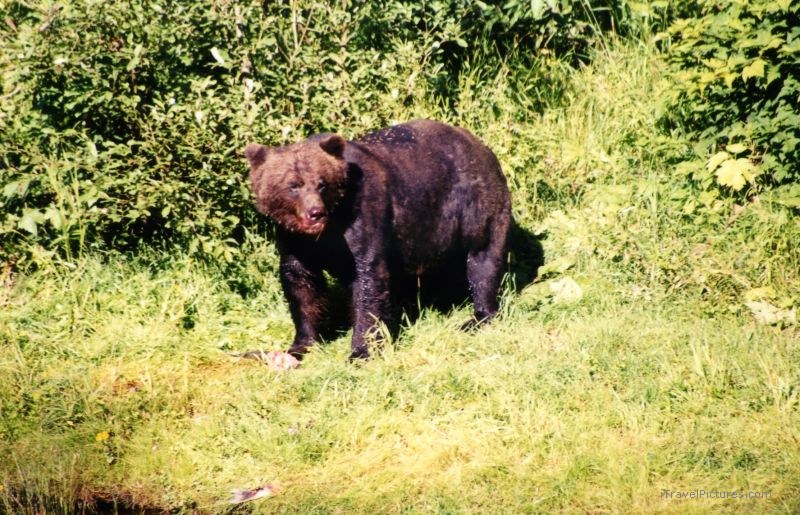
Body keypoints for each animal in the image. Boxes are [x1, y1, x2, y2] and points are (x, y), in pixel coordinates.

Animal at [244, 119, 511, 364]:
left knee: (483, 258)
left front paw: (361, 351)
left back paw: (478, 316)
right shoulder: (297, 242)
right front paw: (301, 344)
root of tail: (481, 146)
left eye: (322, 184)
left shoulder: (363, 218)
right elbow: (301, 284)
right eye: (293, 185)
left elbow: (367, 280)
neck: (328, 229)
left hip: (474, 205)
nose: (315, 213)